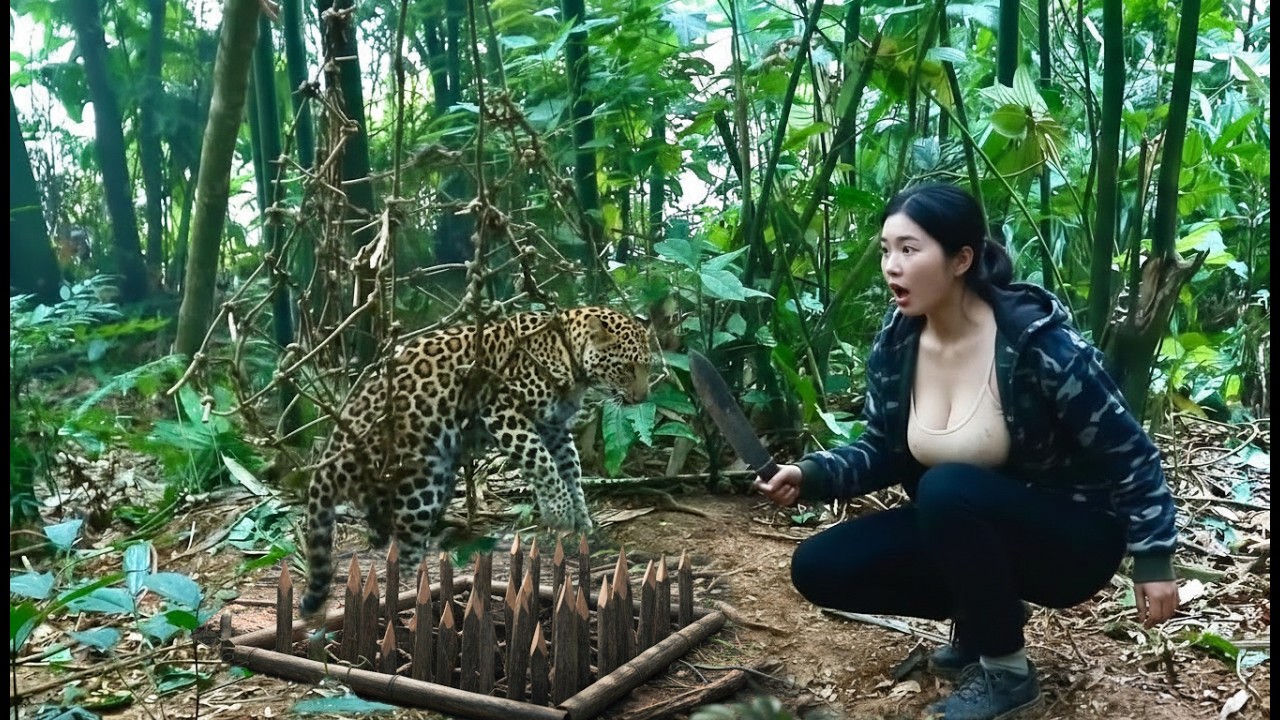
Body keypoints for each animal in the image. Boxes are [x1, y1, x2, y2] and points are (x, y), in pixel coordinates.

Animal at [299, 306, 654, 617]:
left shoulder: (553, 427)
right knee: (404, 546)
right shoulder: (505, 411)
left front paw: (580, 519)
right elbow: (541, 463)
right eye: (626, 367)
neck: (569, 358)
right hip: (420, 480)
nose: (643, 398)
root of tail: (331, 455)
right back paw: (417, 591)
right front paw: (561, 514)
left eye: (647, 366)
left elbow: (570, 468)